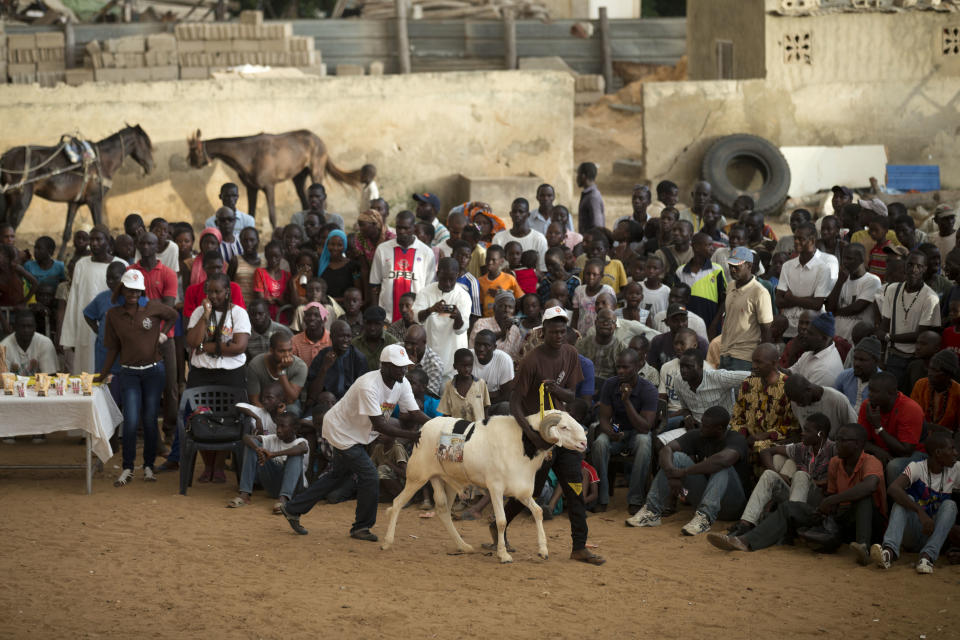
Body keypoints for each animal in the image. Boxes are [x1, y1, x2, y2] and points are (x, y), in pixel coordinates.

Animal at [0, 125, 154, 258]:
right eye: (147, 143)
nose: (151, 166)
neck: (101, 161)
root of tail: (5, 158)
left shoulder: (75, 202)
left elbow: (67, 232)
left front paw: (61, 257)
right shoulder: (95, 200)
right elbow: (99, 225)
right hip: (22, 198)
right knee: (11, 226)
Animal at [188, 129, 364, 229]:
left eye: (194, 150)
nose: (189, 162)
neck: (247, 154)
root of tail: (319, 140)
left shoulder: (269, 186)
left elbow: (272, 215)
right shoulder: (251, 188)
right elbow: (251, 213)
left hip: (316, 171)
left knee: (322, 201)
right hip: (299, 177)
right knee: (304, 201)